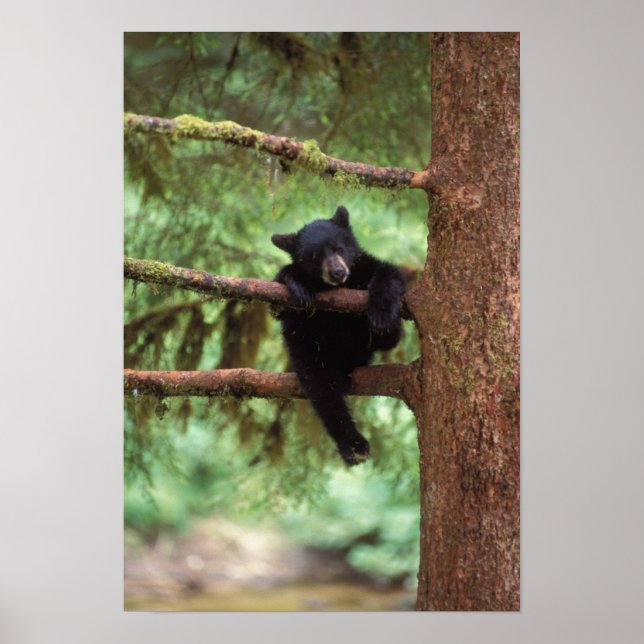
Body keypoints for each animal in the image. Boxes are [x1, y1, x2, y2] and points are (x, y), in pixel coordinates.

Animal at [271, 206, 405, 465]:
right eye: (315, 256)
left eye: (339, 248)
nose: (337, 271)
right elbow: (280, 301)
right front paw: (296, 282)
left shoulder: (364, 266)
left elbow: (388, 272)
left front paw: (382, 314)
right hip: (309, 355)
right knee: (324, 394)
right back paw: (353, 445)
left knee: (390, 339)